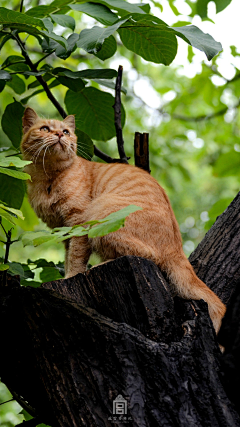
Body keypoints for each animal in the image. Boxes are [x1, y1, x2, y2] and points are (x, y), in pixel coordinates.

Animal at [21, 108, 226, 334]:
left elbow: (75, 258)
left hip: (101, 211)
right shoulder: (64, 230)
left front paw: (70, 277)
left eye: (66, 131)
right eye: (45, 128)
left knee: (147, 255)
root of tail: (177, 247)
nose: (59, 134)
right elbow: (68, 256)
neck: (47, 178)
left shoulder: (79, 222)